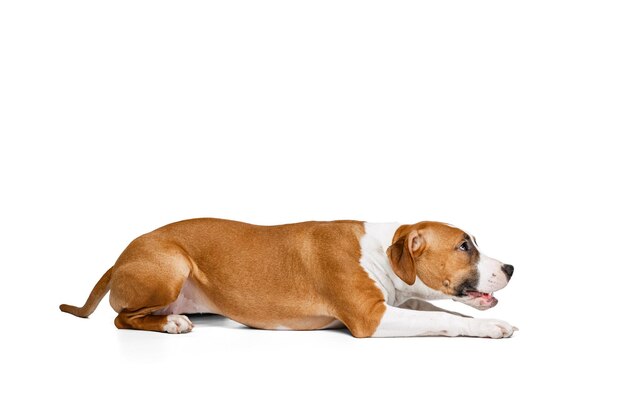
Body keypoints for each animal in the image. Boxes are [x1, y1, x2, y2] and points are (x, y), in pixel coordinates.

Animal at [59, 219, 516, 340]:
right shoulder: (372, 317)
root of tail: (121, 256)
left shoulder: (397, 301)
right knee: (123, 318)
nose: (511, 268)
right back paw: (171, 322)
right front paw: (492, 327)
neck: (382, 250)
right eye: (464, 246)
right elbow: (441, 318)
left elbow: (442, 311)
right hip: (171, 264)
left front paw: (492, 322)